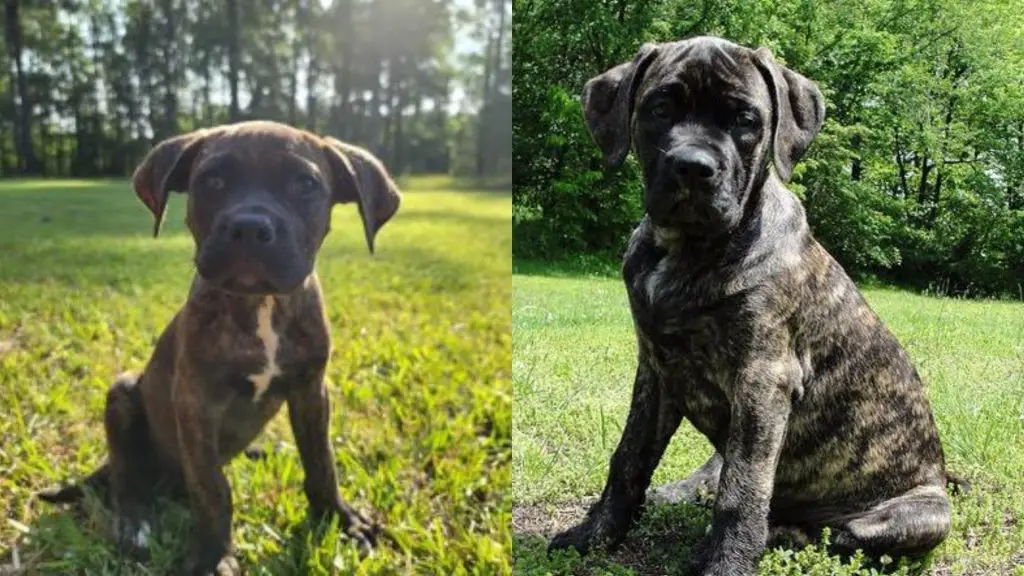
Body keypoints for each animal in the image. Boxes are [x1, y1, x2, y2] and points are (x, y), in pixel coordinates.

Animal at [38, 118, 399, 569]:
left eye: (305, 184)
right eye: (211, 181)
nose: (249, 227)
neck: (260, 305)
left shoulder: (311, 391)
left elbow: (322, 462)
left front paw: (339, 518)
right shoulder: (196, 403)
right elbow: (211, 487)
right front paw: (214, 555)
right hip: (122, 393)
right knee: (125, 476)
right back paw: (135, 523)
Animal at [548, 38, 954, 569]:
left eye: (745, 119)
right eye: (660, 108)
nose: (693, 167)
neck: (687, 250)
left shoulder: (763, 378)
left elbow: (743, 490)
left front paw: (726, 563)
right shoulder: (656, 369)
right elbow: (630, 457)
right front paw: (595, 535)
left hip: (917, 514)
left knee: (837, 533)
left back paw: (782, 533)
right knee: (711, 474)